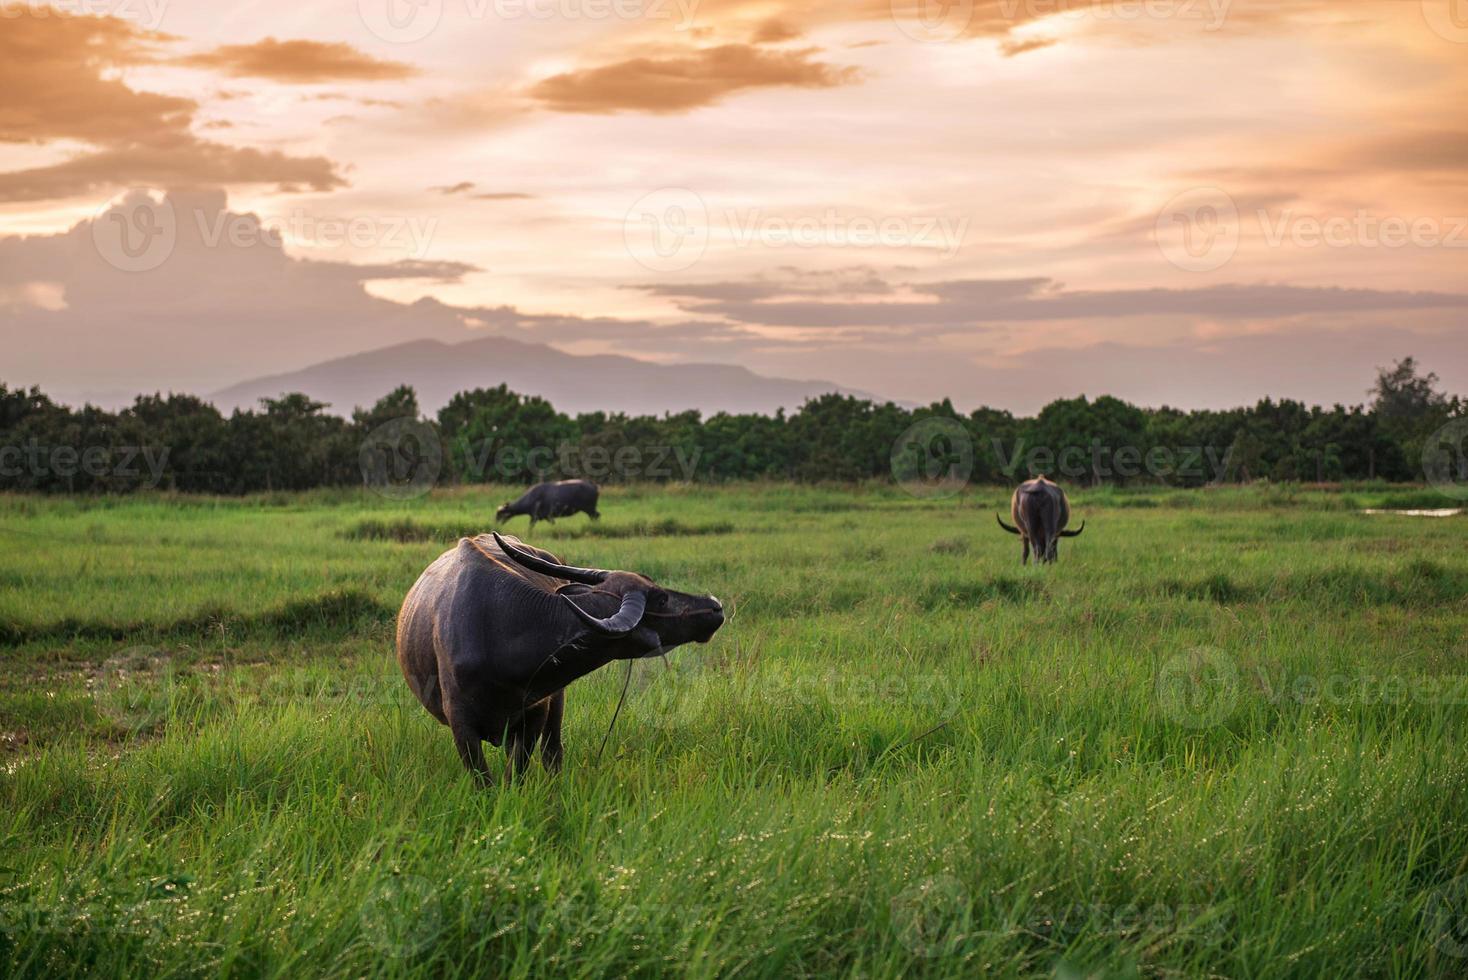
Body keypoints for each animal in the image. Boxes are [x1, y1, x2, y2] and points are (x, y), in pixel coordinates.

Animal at [396, 531, 722, 786]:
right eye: (661, 599)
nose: (714, 605)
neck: (500, 632)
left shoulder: (536, 712)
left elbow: (516, 775)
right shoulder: (461, 725)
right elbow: (485, 783)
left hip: (557, 702)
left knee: (553, 752)